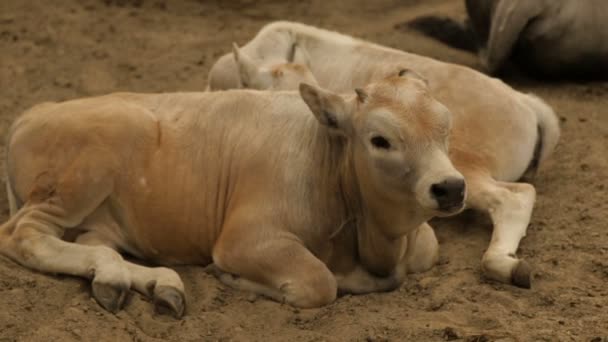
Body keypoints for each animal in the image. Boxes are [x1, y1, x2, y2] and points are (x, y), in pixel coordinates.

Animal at [1, 75, 466, 318]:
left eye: (447, 127)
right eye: (380, 139)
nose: (450, 187)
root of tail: (33, 112)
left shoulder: (420, 243)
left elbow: (423, 254)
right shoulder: (245, 240)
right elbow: (320, 282)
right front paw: (233, 278)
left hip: (106, 219)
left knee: (92, 244)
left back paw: (150, 283)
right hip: (79, 177)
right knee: (23, 235)